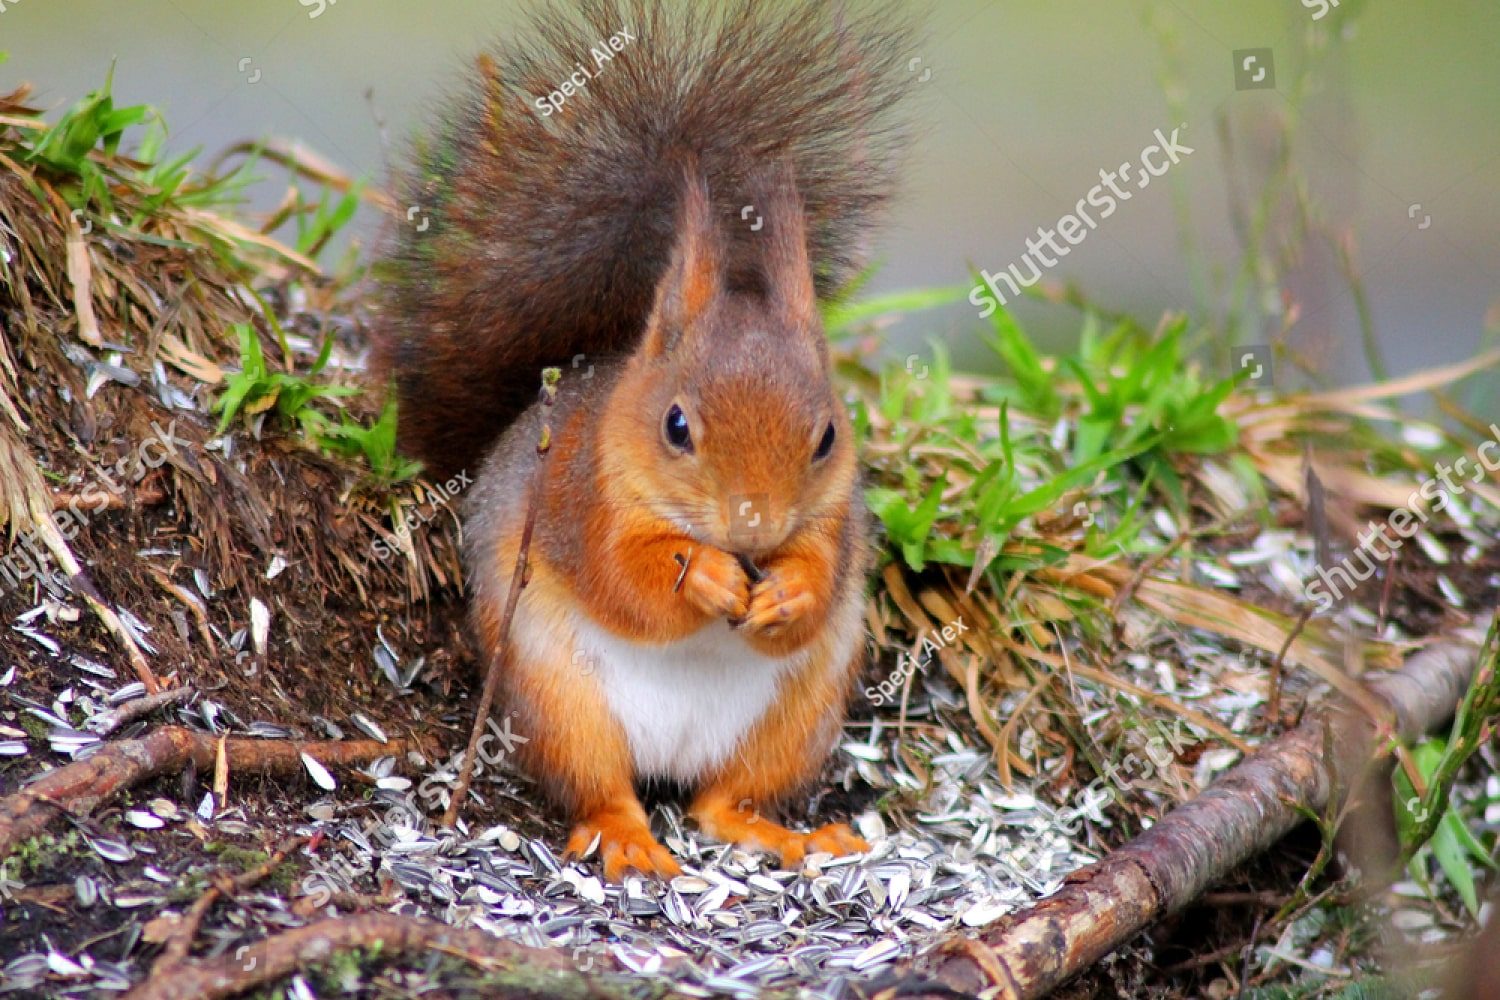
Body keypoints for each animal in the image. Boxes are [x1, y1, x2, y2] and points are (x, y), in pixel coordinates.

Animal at [372, 0, 913, 881]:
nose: (754, 529)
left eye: (828, 436)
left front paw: (789, 591)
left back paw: (787, 834)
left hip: (797, 715)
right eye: (676, 426)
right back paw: (627, 838)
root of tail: (674, 756)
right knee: (601, 788)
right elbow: (623, 580)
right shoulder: (579, 495)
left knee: (721, 803)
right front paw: (701, 575)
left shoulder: (835, 521)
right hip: (558, 699)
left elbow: (821, 580)